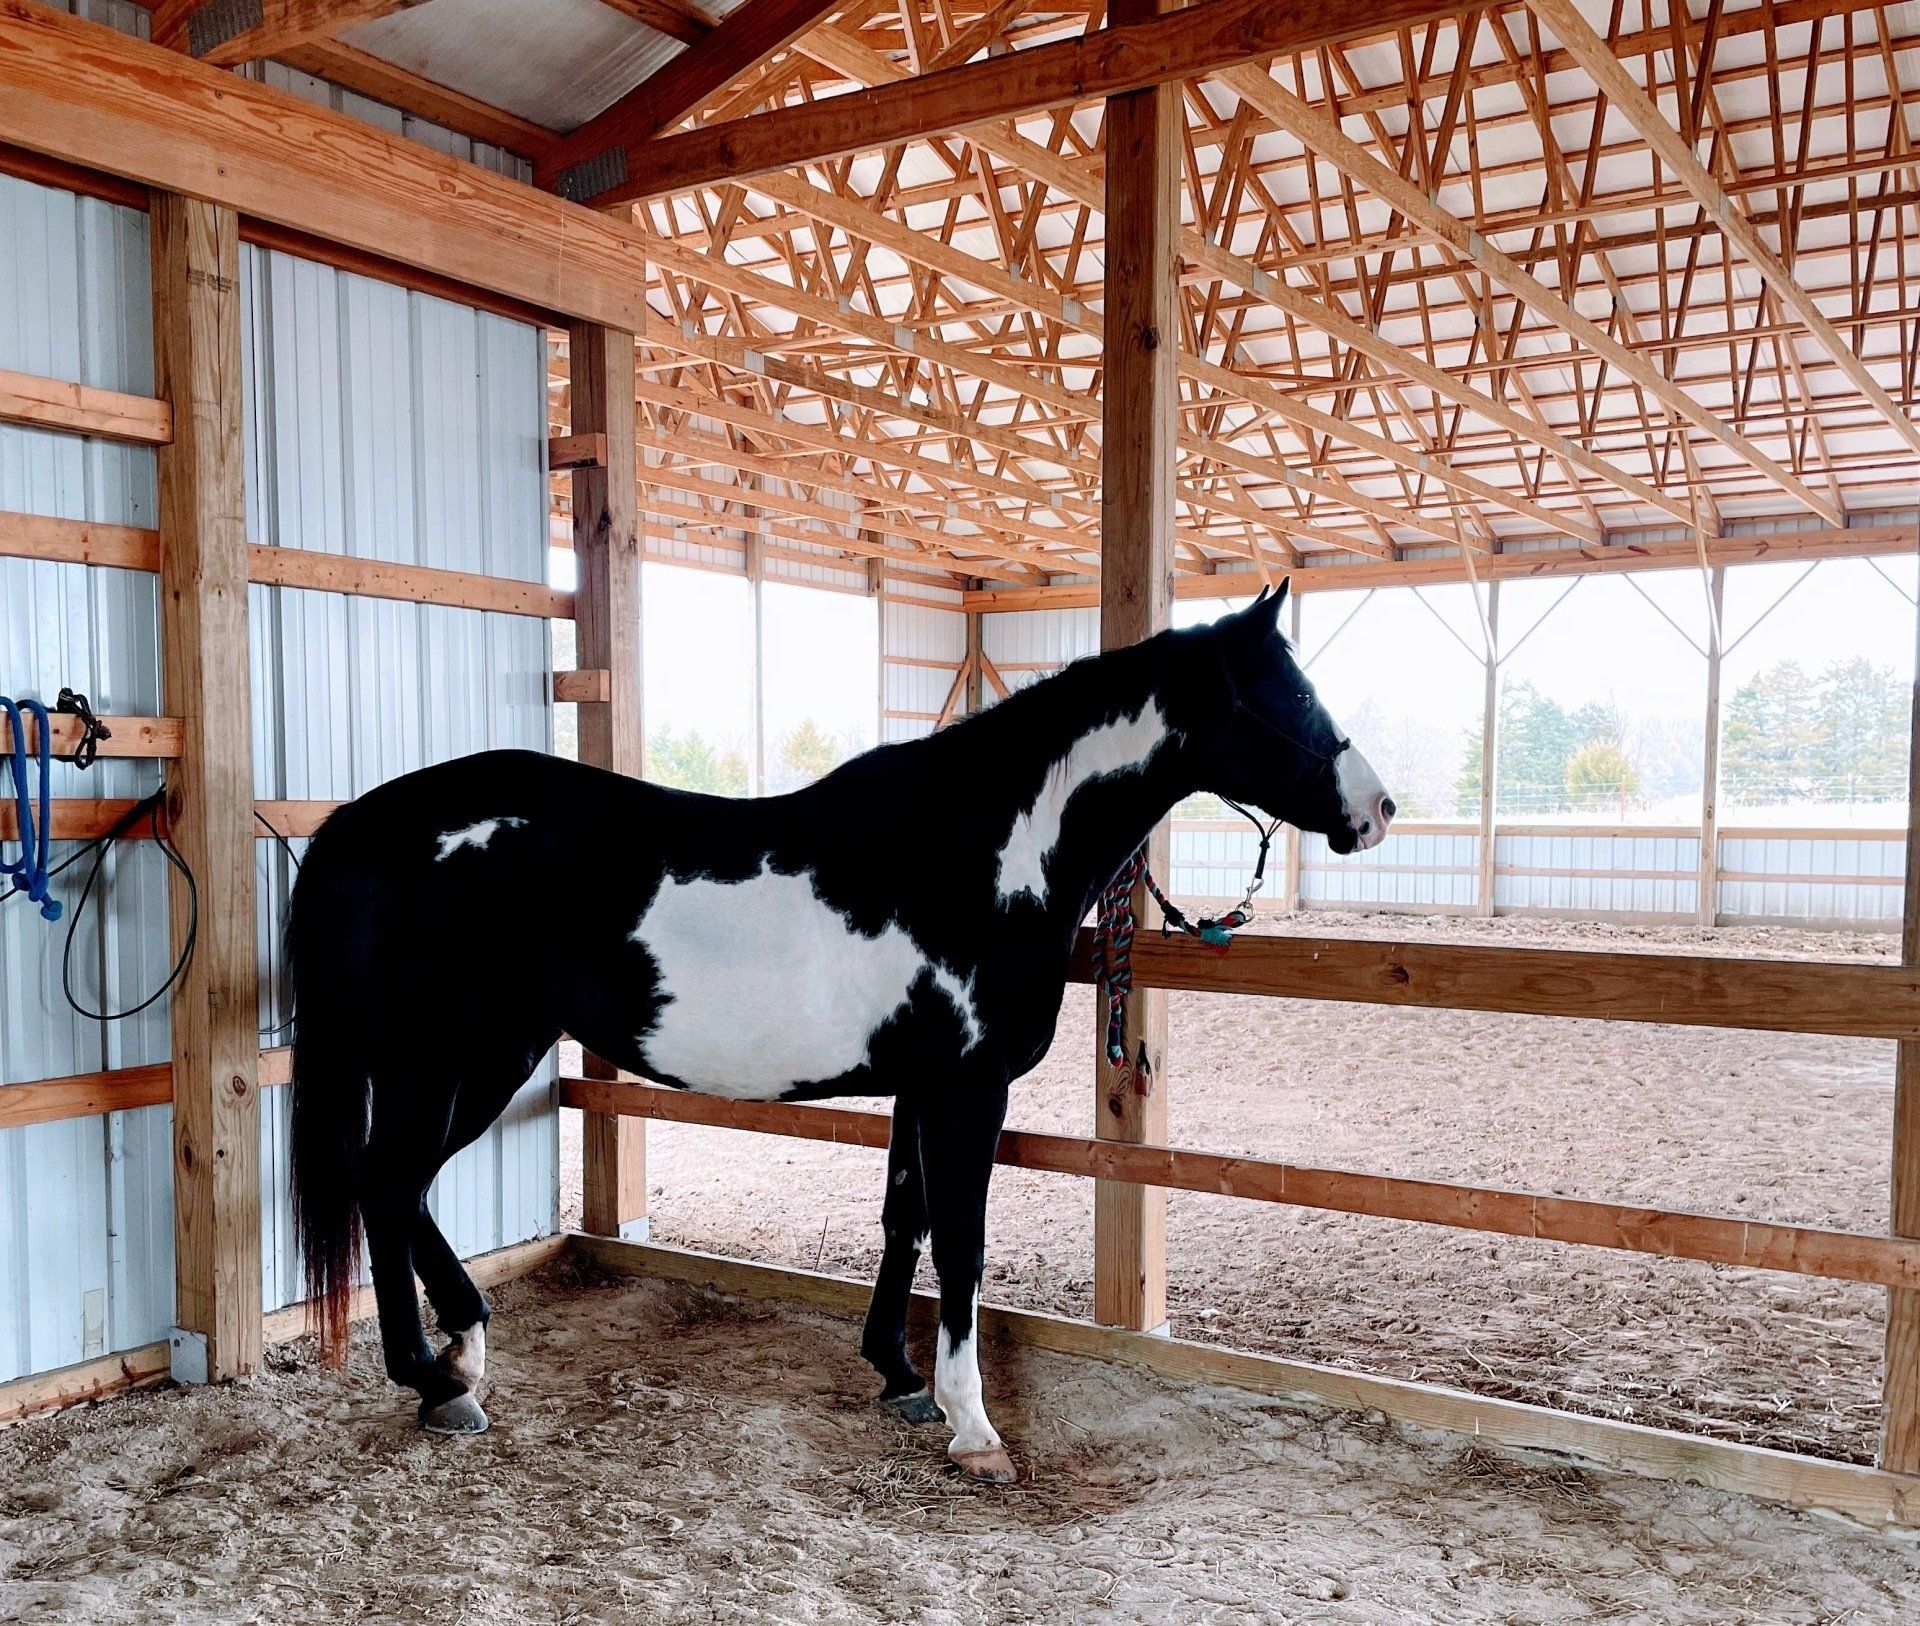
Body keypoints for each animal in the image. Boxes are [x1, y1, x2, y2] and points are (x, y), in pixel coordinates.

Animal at [287, 582, 1393, 1481]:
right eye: (1289, 697)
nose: (1377, 810)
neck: (983, 852)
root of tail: (358, 824)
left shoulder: (919, 1085)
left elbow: (906, 1222)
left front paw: (897, 1377)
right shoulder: (968, 1088)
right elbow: (963, 1246)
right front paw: (974, 1428)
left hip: (487, 1055)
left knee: (402, 1187)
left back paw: (464, 1353)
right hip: (445, 1056)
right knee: (386, 1182)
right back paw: (433, 1381)